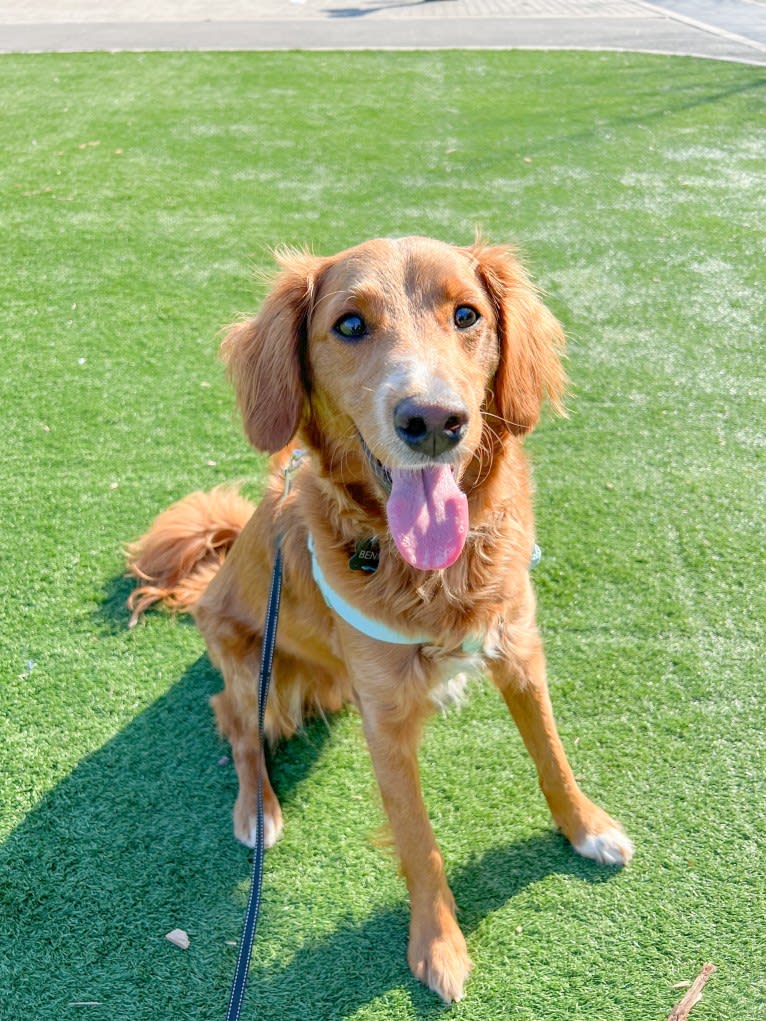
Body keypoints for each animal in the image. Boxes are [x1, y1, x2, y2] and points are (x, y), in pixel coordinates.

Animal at [127, 236, 637, 1004]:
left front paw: (587, 828)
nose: (433, 421)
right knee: (235, 725)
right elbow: (419, 840)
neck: (431, 572)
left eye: (467, 314)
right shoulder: (387, 719)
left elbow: (553, 754)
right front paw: (438, 945)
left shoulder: (519, 648)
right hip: (254, 669)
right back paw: (258, 810)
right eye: (349, 325)